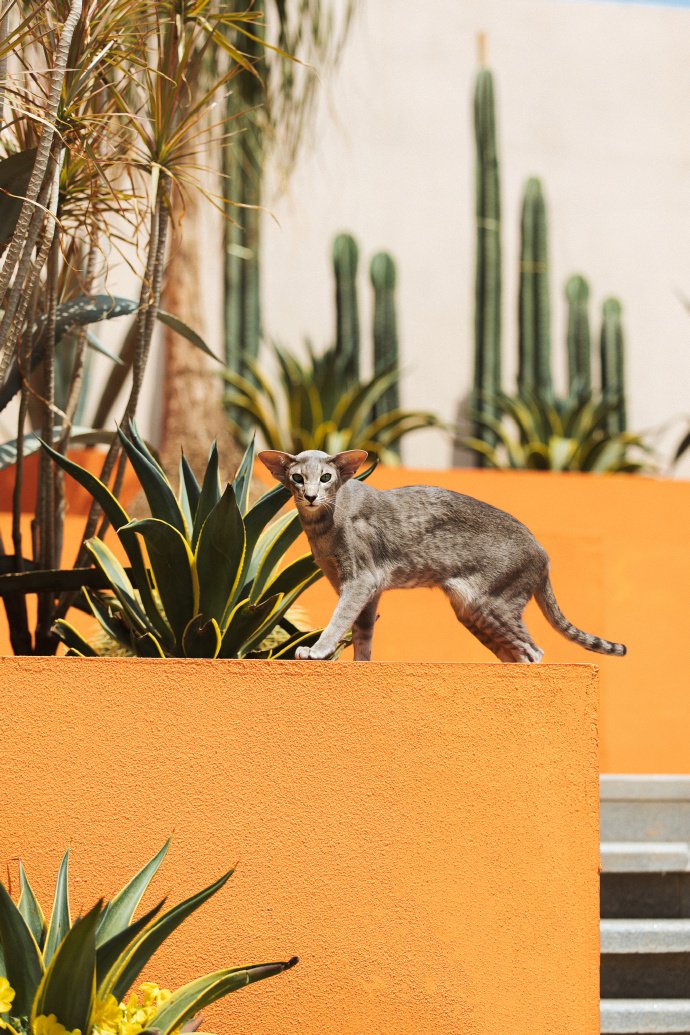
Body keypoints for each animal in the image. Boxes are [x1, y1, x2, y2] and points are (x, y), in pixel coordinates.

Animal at [257, 447, 624, 662]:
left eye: (326, 477)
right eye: (297, 478)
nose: (310, 495)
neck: (321, 526)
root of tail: (543, 550)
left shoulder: (360, 581)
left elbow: (338, 621)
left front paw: (317, 650)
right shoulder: (367, 590)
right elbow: (362, 634)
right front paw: (361, 664)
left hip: (487, 604)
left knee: (533, 652)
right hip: (474, 612)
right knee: (517, 653)